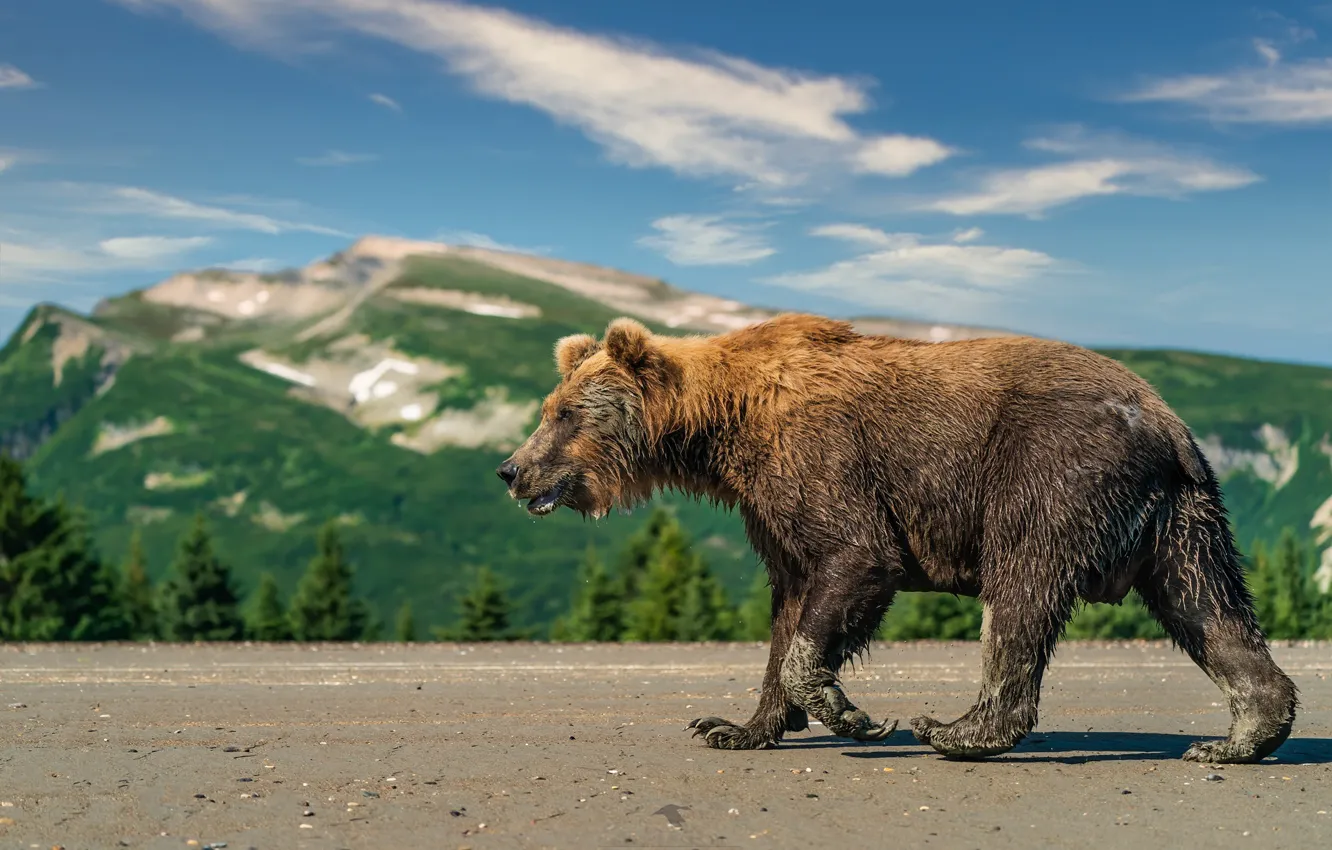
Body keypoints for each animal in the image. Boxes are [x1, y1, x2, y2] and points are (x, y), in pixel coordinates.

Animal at [496, 313, 1298, 763]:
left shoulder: (822, 459)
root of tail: (1169, 422)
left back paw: (958, 729)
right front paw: (736, 725)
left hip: (1051, 471)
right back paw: (1238, 736)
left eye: (566, 413)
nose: (510, 469)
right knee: (1208, 607)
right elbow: (789, 606)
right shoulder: (771, 508)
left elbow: (855, 561)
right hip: (1181, 517)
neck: (725, 428)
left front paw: (849, 712)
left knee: (1021, 591)